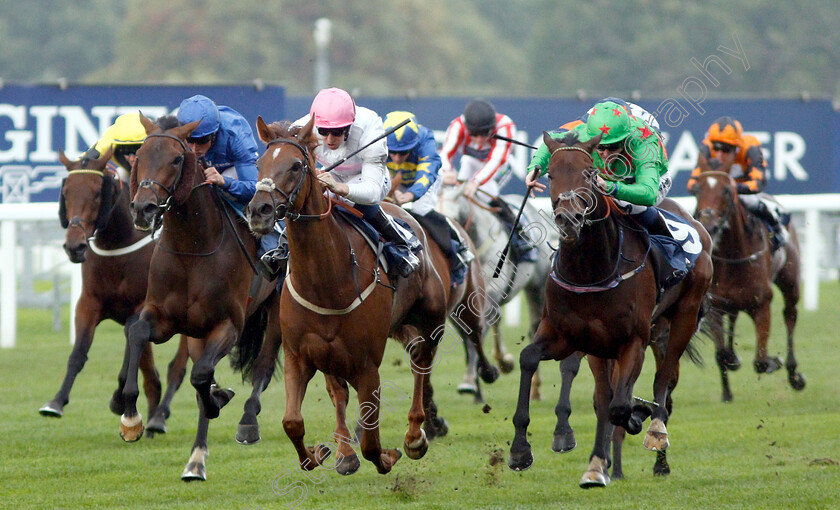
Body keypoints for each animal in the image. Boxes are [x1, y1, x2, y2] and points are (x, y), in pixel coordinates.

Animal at [40, 147, 188, 434]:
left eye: (98, 192)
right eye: (66, 193)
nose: (74, 247)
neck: (118, 244)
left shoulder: (141, 306)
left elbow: (131, 343)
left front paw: (119, 399)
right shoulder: (88, 302)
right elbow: (78, 353)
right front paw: (56, 402)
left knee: (178, 366)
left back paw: (158, 416)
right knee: (152, 375)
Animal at [120, 113, 282, 480]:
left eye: (176, 159)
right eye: (141, 155)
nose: (142, 208)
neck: (191, 249)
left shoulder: (226, 325)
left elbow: (201, 377)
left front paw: (218, 402)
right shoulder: (163, 317)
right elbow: (137, 333)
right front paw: (131, 418)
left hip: (278, 309)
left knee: (261, 367)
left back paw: (241, 426)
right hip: (194, 334)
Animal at [243, 117, 496, 476]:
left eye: (295, 165)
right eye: (259, 163)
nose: (259, 211)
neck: (326, 278)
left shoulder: (366, 363)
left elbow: (372, 443)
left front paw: (386, 454)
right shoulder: (301, 355)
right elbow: (294, 421)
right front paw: (326, 452)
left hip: (437, 316)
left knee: (430, 358)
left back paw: (419, 432)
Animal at [508, 133, 712, 488]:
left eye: (589, 174)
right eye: (550, 175)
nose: (568, 219)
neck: (591, 271)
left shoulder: (632, 341)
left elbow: (621, 406)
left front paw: (636, 419)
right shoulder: (567, 335)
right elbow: (530, 359)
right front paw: (521, 450)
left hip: (684, 316)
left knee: (665, 377)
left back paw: (656, 433)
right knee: (609, 395)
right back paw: (606, 463)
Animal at [692, 165, 804, 400]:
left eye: (727, 191)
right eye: (696, 190)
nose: (708, 225)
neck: (732, 255)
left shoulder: (762, 304)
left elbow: (760, 361)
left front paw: (774, 361)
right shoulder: (715, 307)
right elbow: (722, 354)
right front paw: (727, 392)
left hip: (790, 281)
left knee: (790, 315)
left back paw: (794, 374)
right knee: (733, 317)